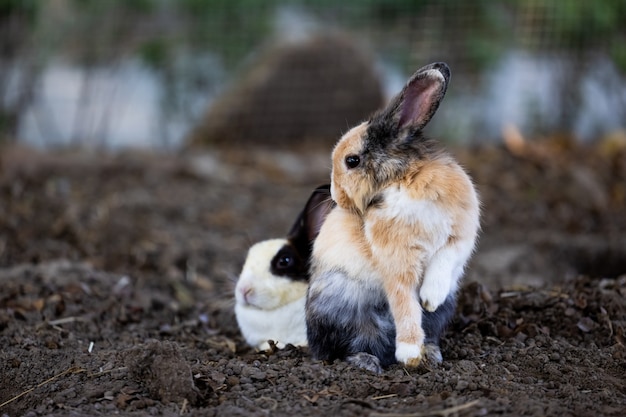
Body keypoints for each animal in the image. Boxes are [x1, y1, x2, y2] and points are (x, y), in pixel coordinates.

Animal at [306, 61, 478, 370]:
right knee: (338, 349)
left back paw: (431, 353)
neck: (404, 178)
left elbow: (443, 262)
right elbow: (404, 304)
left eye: (352, 161)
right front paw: (409, 353)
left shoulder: (460, 235)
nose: (336, 197)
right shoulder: (397, 261)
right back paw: (369, 361)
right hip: (338, 310)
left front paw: (430, 297)